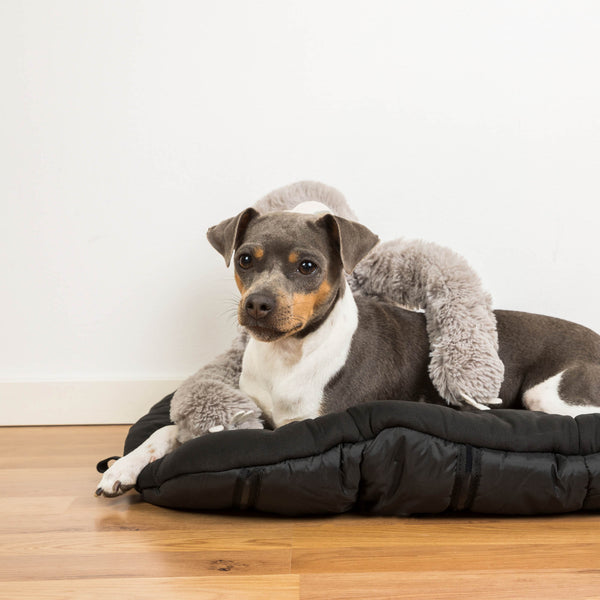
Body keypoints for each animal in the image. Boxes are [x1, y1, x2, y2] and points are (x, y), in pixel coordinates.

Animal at [95, 203, 600, 496]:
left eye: (307, 266)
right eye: (244, 259)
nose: (257, 304)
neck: (289, 356)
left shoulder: (296, 425)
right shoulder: (250, 413)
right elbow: (168, 432)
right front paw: (124, 468)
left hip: (548, 394)